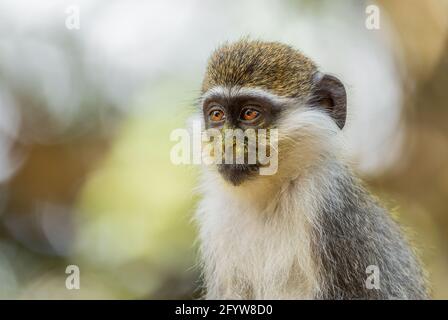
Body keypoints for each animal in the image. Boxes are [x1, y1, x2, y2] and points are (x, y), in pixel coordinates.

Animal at [194, 39, 428, 300]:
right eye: (217, 115)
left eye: (250, 113)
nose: (226, 144)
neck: (267, 199)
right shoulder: (216, 218)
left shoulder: (329, 205)